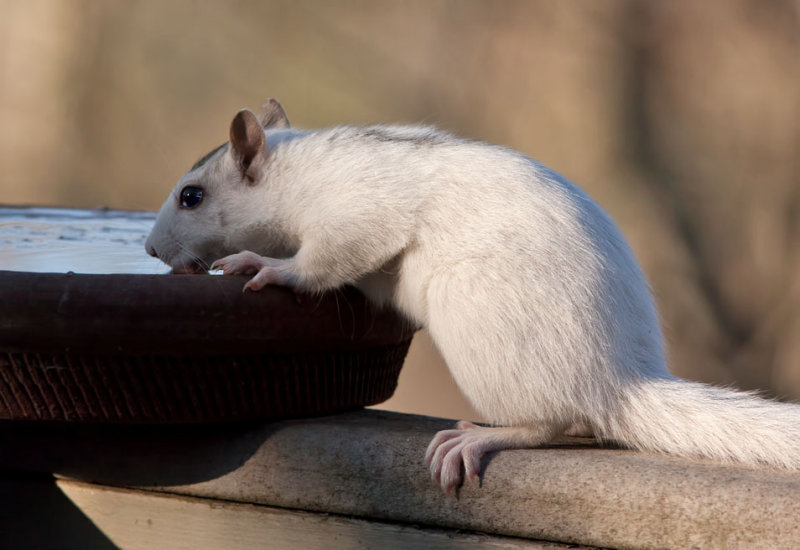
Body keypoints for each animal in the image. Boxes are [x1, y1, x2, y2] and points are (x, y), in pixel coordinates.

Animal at [147, 97, 800, 494]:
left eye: (192, 197)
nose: (152, 250)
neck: (295, 173)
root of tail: (616, 381)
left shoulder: (356, 214)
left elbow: (325, 260)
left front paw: (264, 265)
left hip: (489, 337)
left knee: (561, 423)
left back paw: (486, 435)